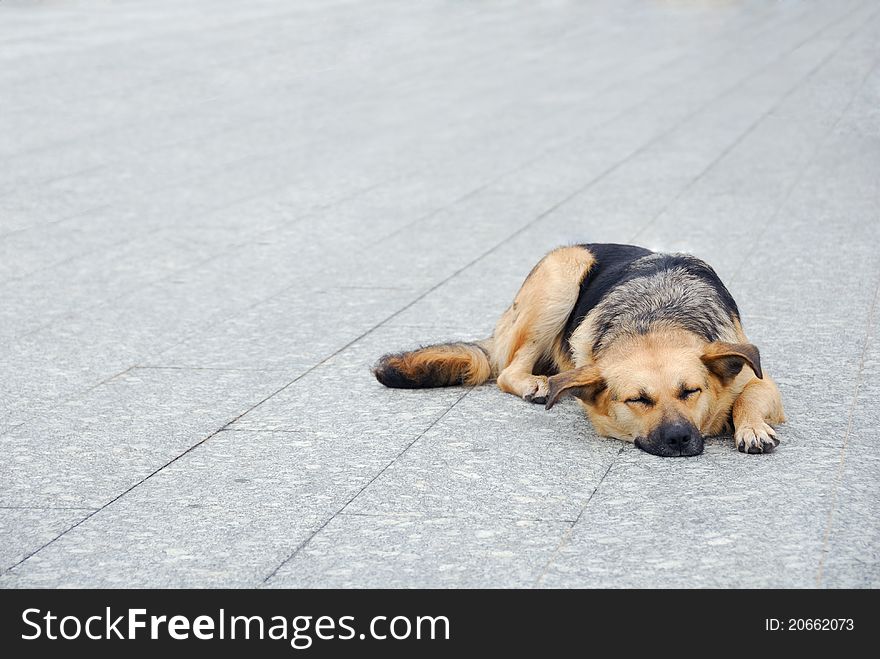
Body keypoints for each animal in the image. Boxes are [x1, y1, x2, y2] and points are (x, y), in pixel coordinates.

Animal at [374, 244, 788, 458]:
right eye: (637, 400)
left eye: (691, 391)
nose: (678, 439)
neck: (654, 321)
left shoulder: (759, 379)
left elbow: (749, 396)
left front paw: (751, 427)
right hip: (563, 276)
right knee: (508, 371)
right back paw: (535, 383)